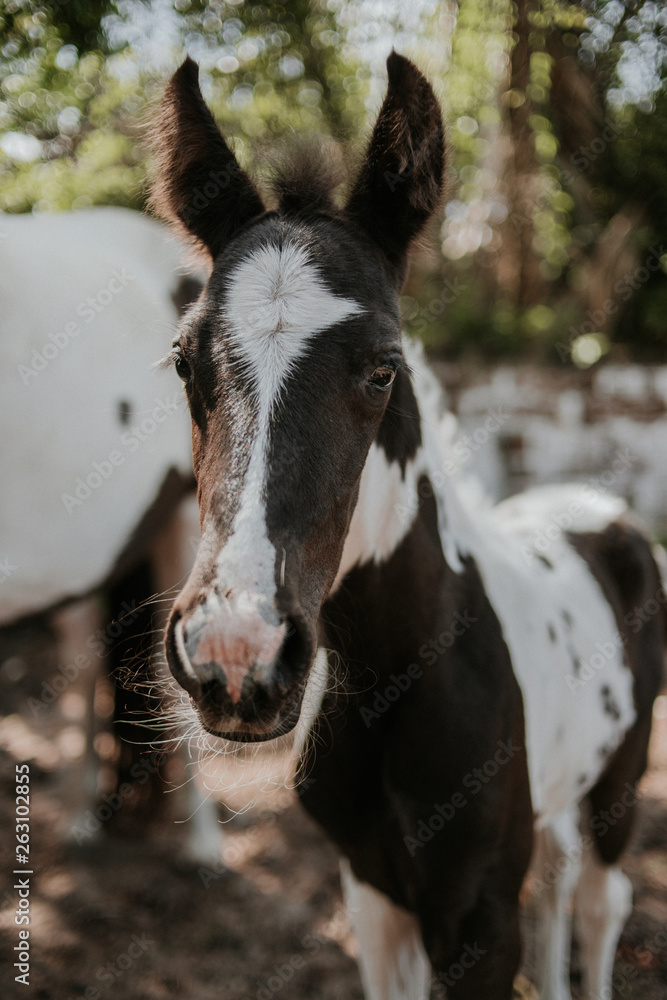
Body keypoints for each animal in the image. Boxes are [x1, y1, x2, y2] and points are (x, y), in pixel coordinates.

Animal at [148, 53, 665, 998]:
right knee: (557, 881)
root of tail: (598, 511)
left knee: (598, 901)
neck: (403, 675)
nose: (236, 654)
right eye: (181, 361)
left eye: (382, 370)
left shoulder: (478, 918)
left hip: (619, 776)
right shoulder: (372, 892)